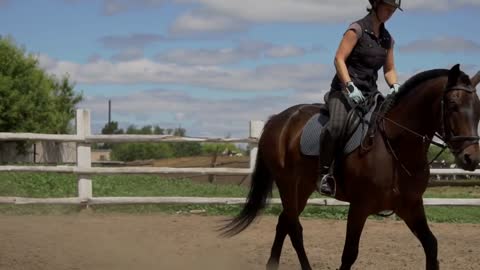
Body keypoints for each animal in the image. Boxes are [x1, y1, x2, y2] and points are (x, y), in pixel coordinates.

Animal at [221, 64, 480, 268]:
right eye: (453, 105)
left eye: (478, 107)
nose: (472, 159)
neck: (395, 146)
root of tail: (279, 119)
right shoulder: (360, 207)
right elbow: (349, 254)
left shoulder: (411, 206)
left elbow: (431, 246)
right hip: (287, 184)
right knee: (294, 229)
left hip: (301, 188)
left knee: (284, 223)